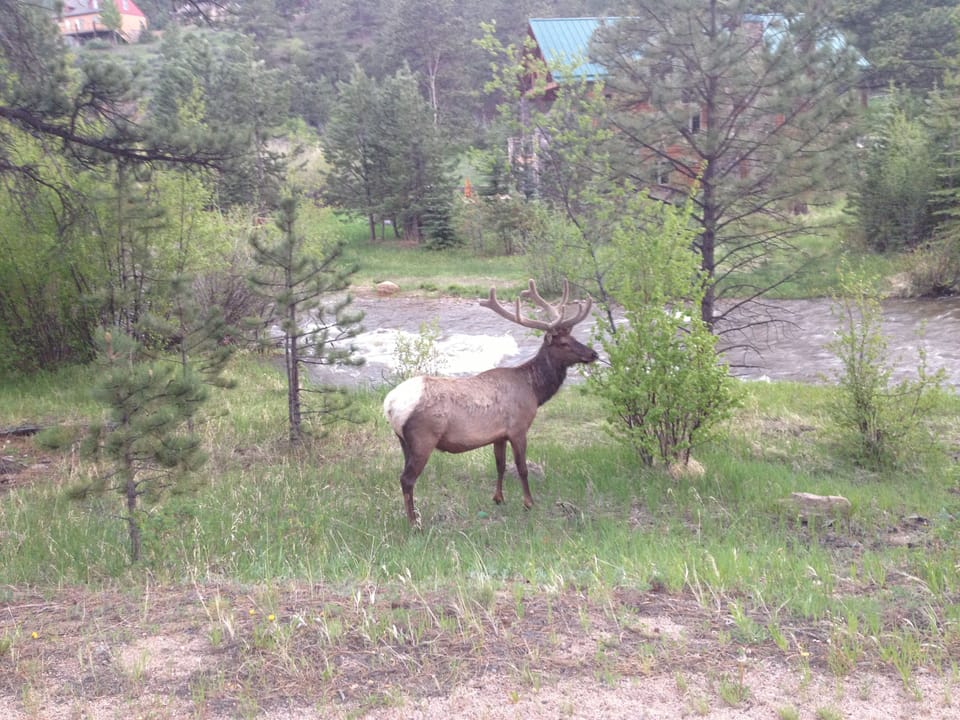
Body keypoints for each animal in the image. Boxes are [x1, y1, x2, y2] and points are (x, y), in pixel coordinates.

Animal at [383, 279, 598, 526]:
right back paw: (414, 522)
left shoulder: (499, 435)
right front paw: (529, 502)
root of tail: (389, 405)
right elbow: (522, 468)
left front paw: (498, 498)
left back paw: (414, 515)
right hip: (423, 438)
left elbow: (500, 465)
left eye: (574, 338)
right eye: (563, 343)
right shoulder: (518, 428)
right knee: (407, 479)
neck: (534, 391)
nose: (593, 354)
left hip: (403, 441)